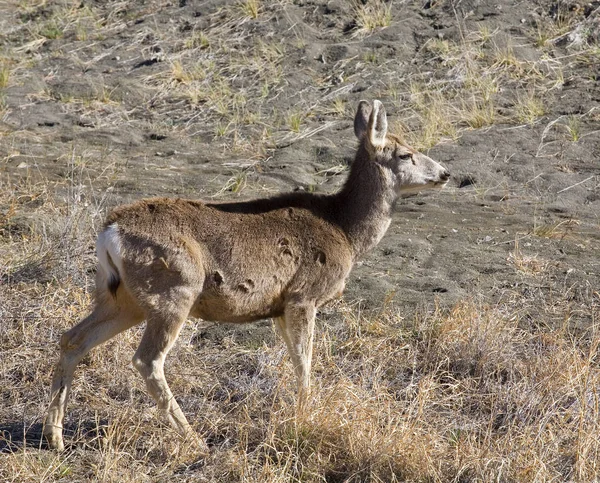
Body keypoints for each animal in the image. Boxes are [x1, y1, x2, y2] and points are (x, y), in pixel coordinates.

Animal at [44, 100, 450, 452]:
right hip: (173, 289)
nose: (445, 173)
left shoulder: (279, 307)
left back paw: (56, 437)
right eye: (405, 154)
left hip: (120, 297)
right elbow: (305, 363)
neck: (344, 230)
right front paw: (305, 414)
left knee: (73, 339)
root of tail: (110, 230)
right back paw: (194, 438)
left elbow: (295, 360)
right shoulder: (303, 296)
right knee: (147, 360)